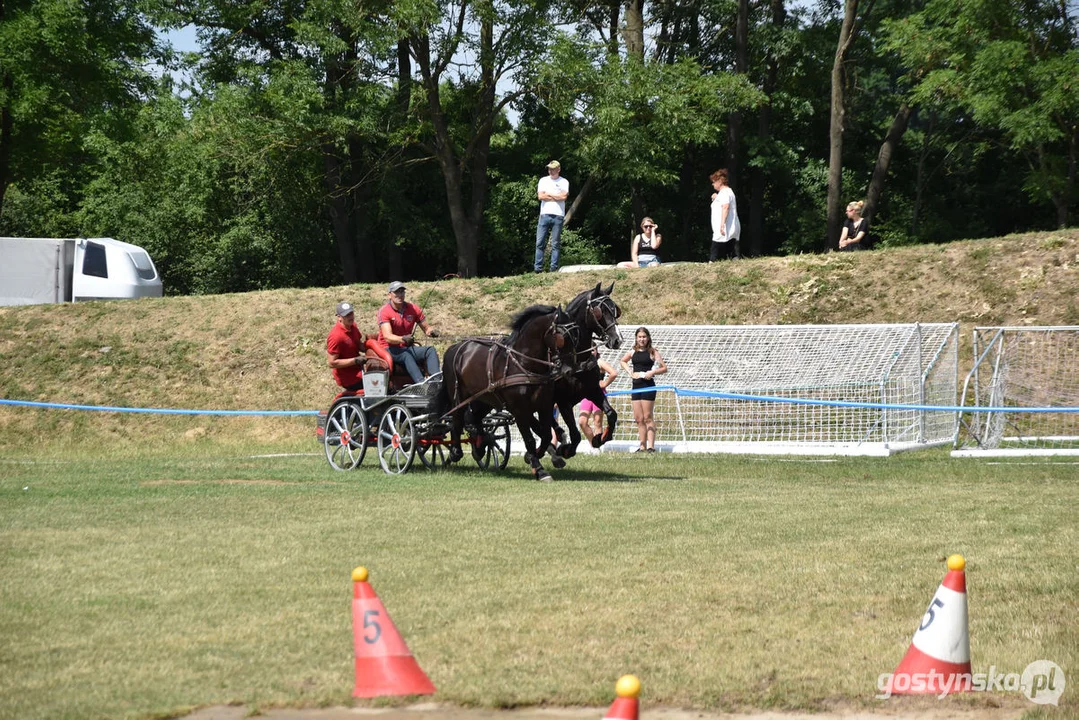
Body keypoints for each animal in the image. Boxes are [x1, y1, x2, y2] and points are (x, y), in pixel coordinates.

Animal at [440, 302, 574, 481]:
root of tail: (455, 347)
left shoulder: (544, 406)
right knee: (457, 419)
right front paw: (539, 468)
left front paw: (537, 456)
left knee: (473, 418)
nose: (568, 370)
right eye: (562, 337)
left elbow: (545, 435)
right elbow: (530, 439)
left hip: (484, 398)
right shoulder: (520, 410)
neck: (524, 364)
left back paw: (480, 446)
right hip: (459, 395)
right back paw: (456, 452)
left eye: (577, 335)